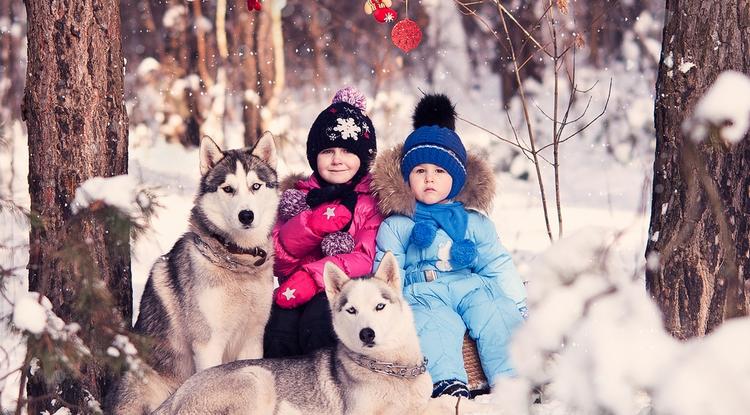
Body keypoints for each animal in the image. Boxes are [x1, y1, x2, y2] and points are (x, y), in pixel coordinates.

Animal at [112, 135, 284, 414]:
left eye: (256, 186)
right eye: (228, 189)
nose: (246, 215)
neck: (236, 261)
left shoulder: (252, 338)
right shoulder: (208, 343)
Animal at [152, 254, 496, 415]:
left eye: (380, 306)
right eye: (351, 310)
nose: (367, 334)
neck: (391, 370)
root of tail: (174, 397)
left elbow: (445, 406)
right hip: (256, 378)